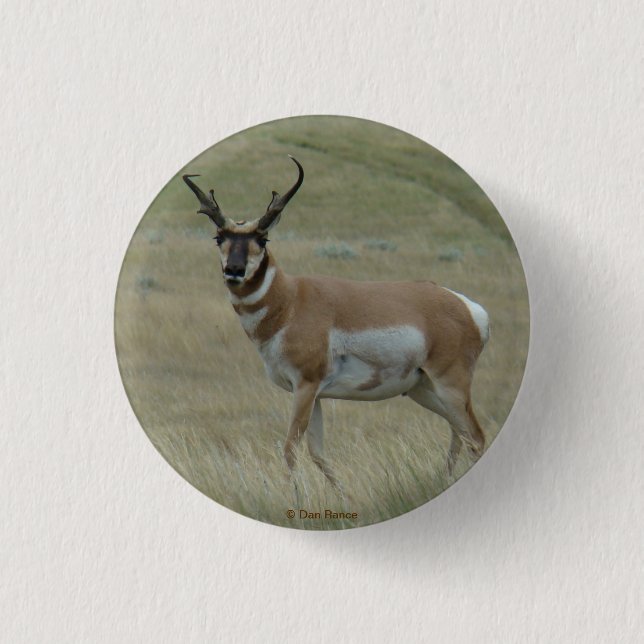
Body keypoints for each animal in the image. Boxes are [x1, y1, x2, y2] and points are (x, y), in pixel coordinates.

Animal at [183, 156, 489, 489]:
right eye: (219, 237)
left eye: (262, 239)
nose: (235, 270)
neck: (290, 300)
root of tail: (468, 307)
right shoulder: (314, 394)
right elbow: (317, 453)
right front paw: (344, 494)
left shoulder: (305, 386)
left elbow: (290, 448)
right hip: (423, 388)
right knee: (459, 433)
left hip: (450, 384)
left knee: (475, 437)